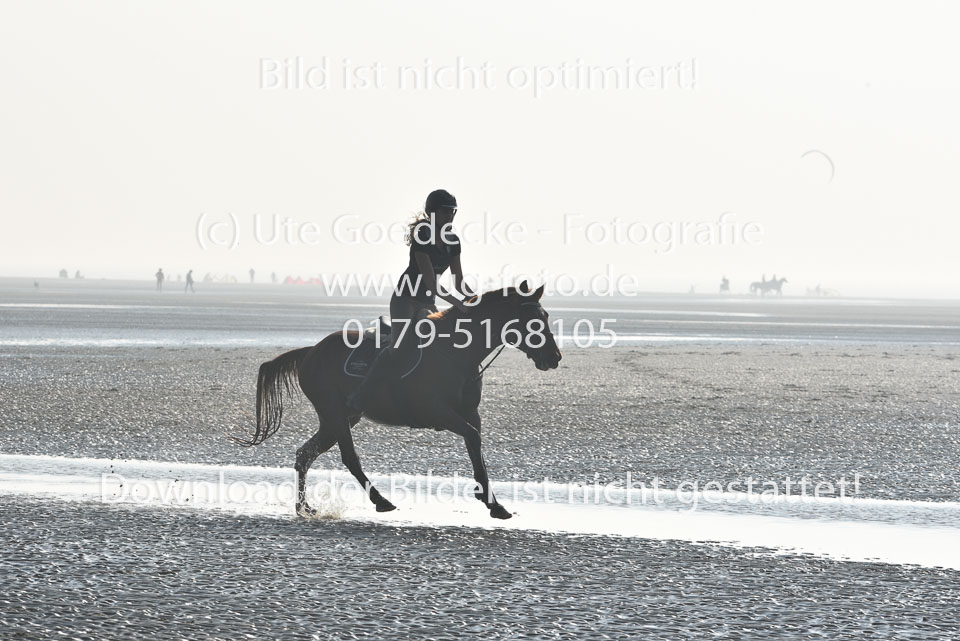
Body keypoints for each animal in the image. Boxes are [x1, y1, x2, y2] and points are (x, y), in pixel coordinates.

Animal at [233, 282, 564, 520]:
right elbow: (472, 437)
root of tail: (310, 352)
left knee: (305, 454)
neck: (457, 353)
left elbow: (476, 446)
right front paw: (488, 499)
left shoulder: (470, 413)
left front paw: (494, 503)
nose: (554, 357)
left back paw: (305, 508)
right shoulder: (438, 413)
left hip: (338, 418)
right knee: (349, 458)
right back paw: (381, 501)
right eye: (532, 320)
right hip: (336, 414)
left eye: (546, 317)